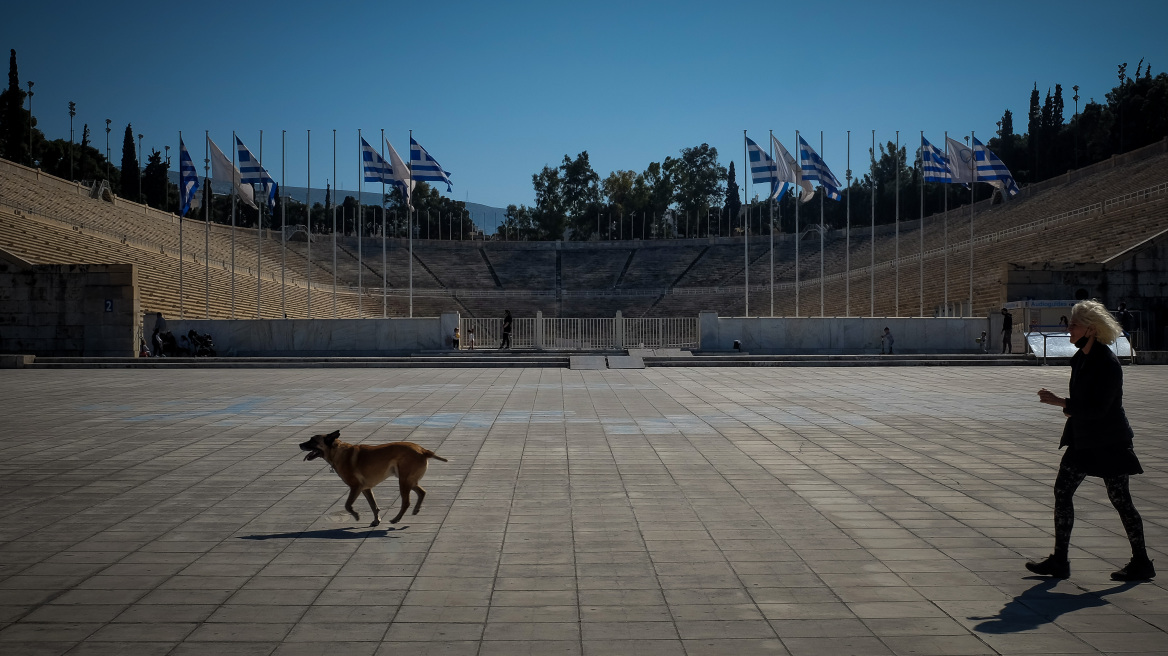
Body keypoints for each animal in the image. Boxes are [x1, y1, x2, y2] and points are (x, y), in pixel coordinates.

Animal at [299, 429, 448, 525]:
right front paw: (377, 520)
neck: (336, 451)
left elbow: (348, 505)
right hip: (409, 480)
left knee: (406, 502)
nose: (300, 444)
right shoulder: (365, 488)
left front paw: (356, 515)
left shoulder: (356, 487)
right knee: (422, 492)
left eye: (312, 440)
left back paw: (396, 519)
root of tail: (422, 450)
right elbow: (373, 506)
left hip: (404, 481)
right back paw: (416, 510)